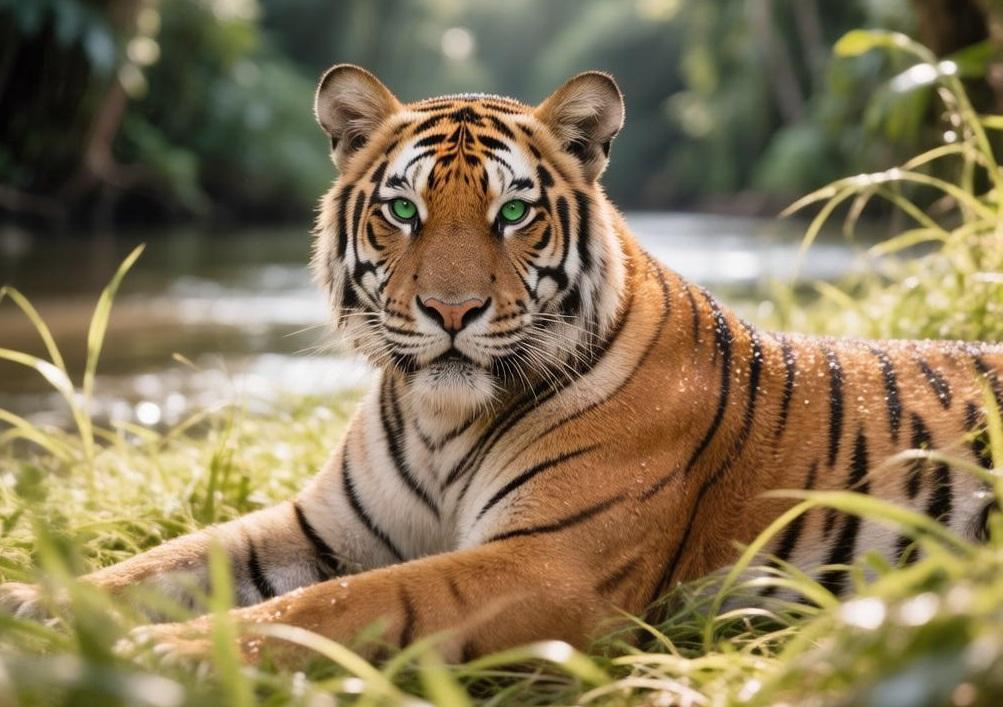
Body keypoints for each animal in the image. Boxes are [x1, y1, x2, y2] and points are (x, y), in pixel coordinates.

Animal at [2, 65, 1001, 666]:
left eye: (512, 213)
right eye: (401, 211)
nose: (450, 312)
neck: (442, 420)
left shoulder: (545, 564)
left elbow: (340, 606)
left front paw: (162, 654)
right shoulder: (320, 523)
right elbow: (162, 562)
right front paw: (34, 604)